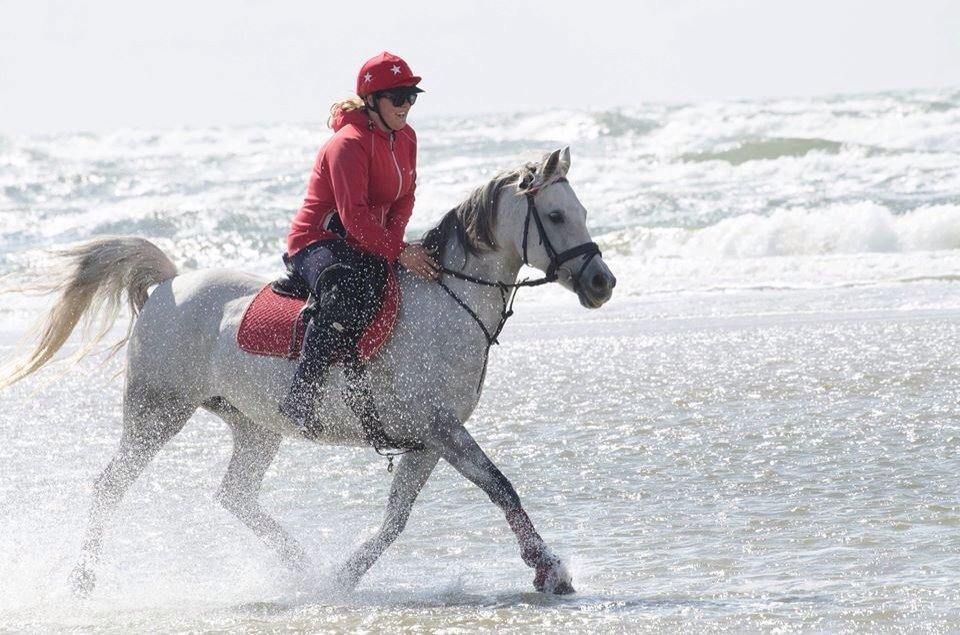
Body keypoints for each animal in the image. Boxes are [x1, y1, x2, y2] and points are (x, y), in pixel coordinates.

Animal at [1, 148, 616, 596]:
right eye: (556, 216)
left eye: (583, 212)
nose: (602, 283)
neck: (449, 301)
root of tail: (171, 284)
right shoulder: (441, 429)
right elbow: (500, 486)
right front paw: (549, 569)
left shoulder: (428, 441)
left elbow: (396, 518)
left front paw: (343, 576)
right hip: (158, 410)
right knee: (111, 485)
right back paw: (83, 579)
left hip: (254, 425)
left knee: (235, 496)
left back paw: (303, 569)